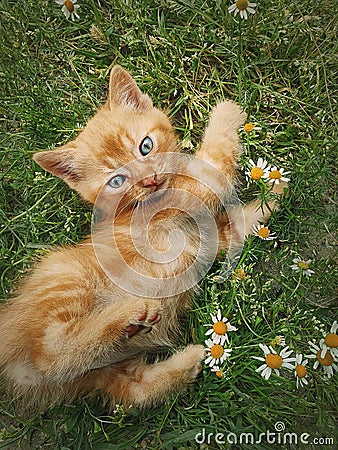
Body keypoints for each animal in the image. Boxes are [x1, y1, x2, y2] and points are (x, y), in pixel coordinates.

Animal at [0, 67, 286, 412]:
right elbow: (214, 159)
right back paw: (131, 313)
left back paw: (185, 359)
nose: (149, 180)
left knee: (132, 391)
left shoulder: (208, 236)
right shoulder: (194, 189)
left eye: (146, 146)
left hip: (104, 372)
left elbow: (235, 227)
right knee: (52, 354)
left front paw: (273, 197)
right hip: (65, 277)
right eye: (117, 181)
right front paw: (227, 111)